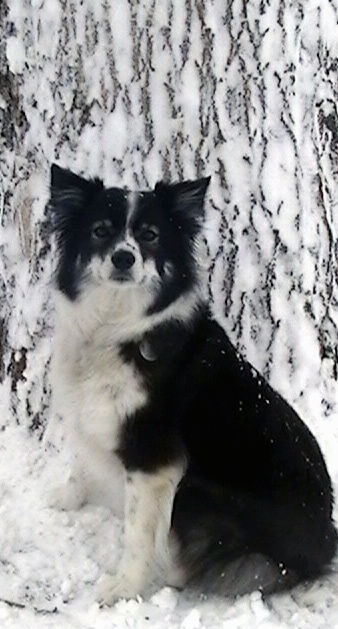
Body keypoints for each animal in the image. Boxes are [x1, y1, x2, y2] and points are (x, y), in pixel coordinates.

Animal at [46, 163, 336, 604]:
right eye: (100, 230)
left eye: (150, 235)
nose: (123, 257)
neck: (117, 327)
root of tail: (323, 545)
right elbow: (80, 462)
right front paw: (68, 497)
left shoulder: (154, 458)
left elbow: (137, 532)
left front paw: (124, 586)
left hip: (195, 488)